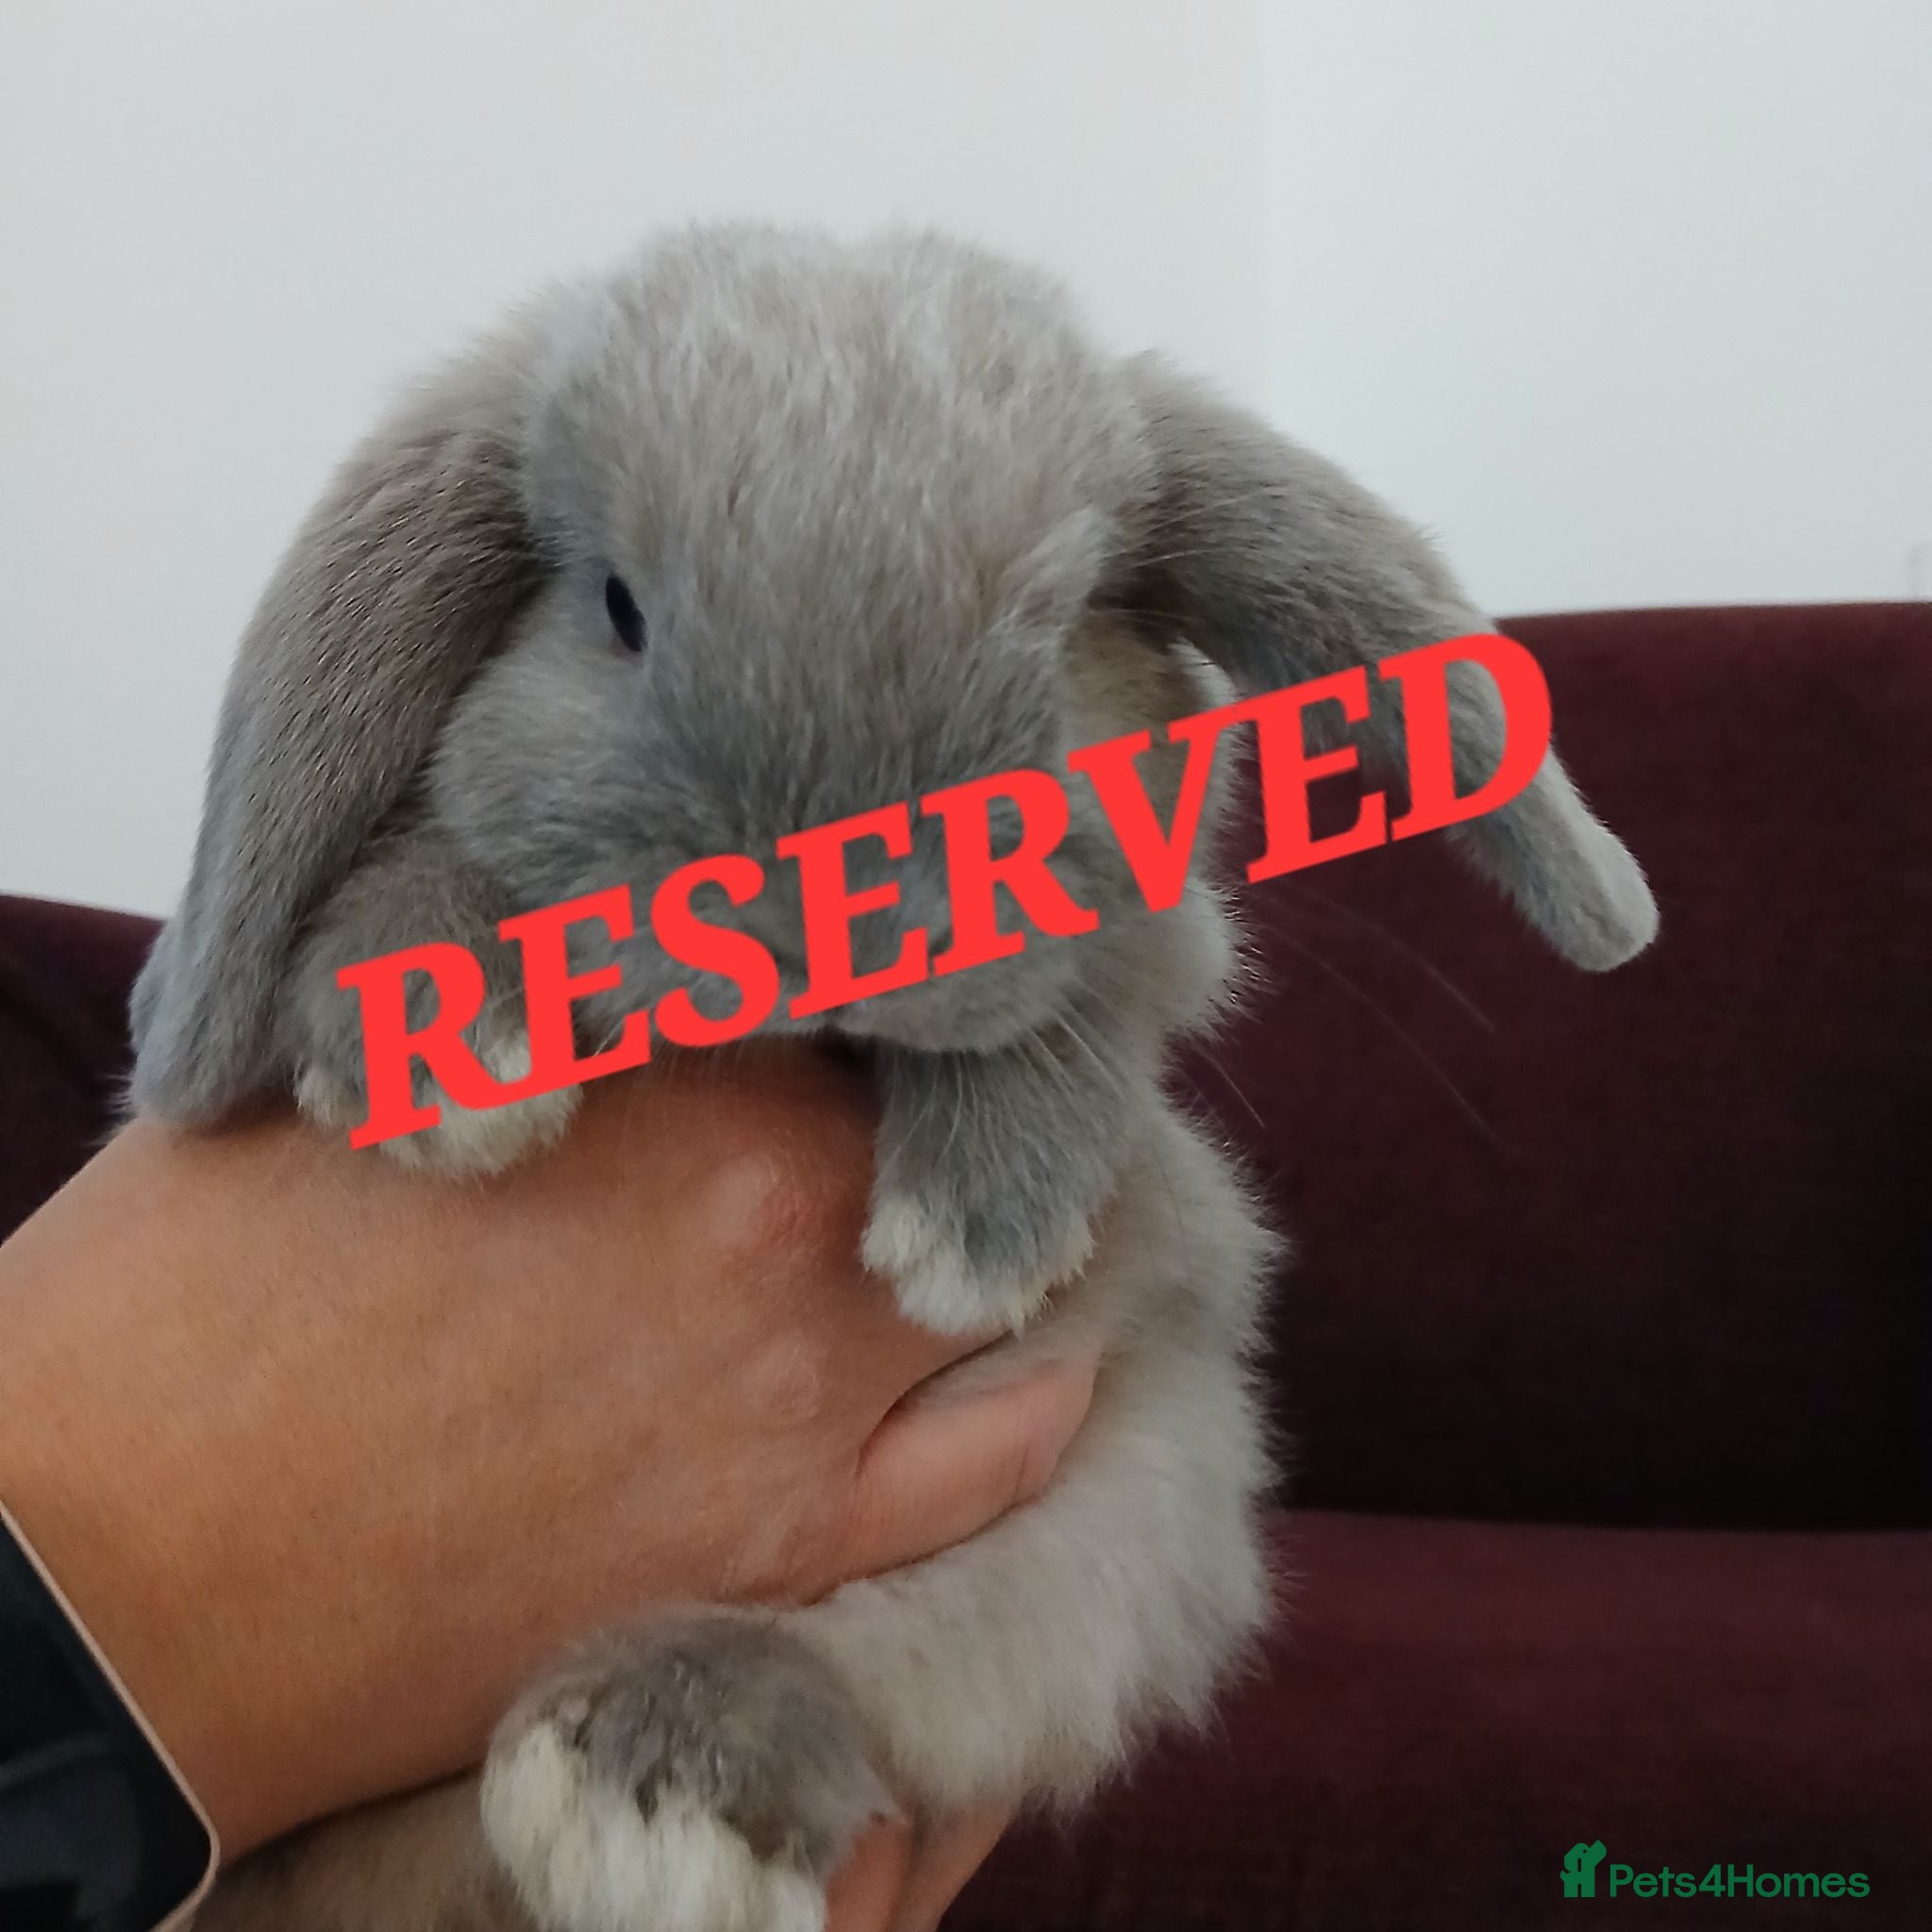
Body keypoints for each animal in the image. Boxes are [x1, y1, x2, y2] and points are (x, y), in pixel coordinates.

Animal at [130, 223, 1658, 1932]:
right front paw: (452, 1066)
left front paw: (967, 1233)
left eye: (1058, 623)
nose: (831, 922)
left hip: (1111, 1523)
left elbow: (1088, 1011)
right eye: (617, 609)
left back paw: (646, 1797)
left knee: (891, 1674)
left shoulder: (1151, 979)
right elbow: (432, 860)